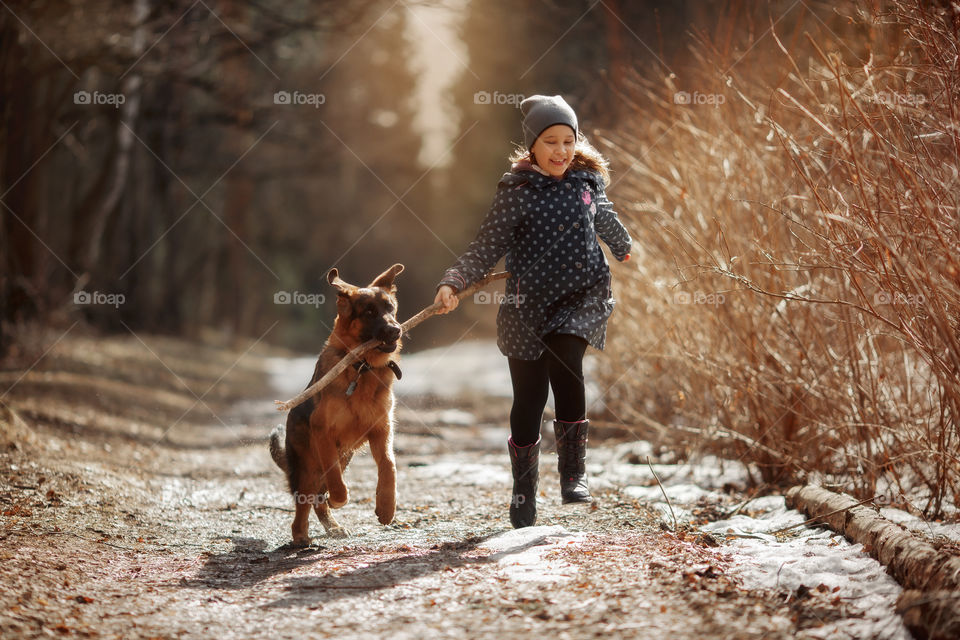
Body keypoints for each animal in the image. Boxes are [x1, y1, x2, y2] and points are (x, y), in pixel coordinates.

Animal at [272, 264, 404, 544]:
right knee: (308, 499)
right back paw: (302, 535)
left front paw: (387, 506)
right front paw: (340, 498)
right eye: (369, 312)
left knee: (318, 496)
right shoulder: (323, 431)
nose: (396, 330)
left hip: (345, 455)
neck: (361, 368)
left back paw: (332, 527)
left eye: (390, 308)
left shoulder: (381, 430)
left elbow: (389, 465)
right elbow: (334, 476)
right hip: (308, 467)